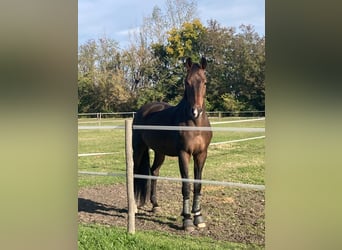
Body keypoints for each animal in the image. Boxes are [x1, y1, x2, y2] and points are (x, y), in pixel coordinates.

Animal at [133, 57, 211, 231]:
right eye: (187, 82)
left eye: (205, 82)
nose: (195, 111)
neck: (195, 124)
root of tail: (142, 110)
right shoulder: (184, 154)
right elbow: (186, 185)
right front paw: (187, 220)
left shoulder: (201, 154)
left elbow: (198, 185)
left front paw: (198, 218)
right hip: (138, 149)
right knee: (135, 172)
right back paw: (134, 206)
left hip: (160, 152)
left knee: (154, 172)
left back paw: (155, 205)